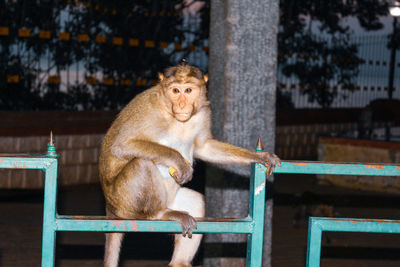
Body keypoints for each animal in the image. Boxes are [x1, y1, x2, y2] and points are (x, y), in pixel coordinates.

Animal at [99, 63, 282, 267]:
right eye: (175, 91)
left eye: (188, 90)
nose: (181, 105)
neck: (172, 114)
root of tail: (110, 207)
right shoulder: (148, 109)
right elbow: (121, 146)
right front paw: (179, 161)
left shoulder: (202, 113)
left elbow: (204, 146)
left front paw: (258, 156)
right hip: (125, 202)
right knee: (141, 163)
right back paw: (159, 214)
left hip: (170, 199)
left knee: (196, 201)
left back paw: (180, 262)